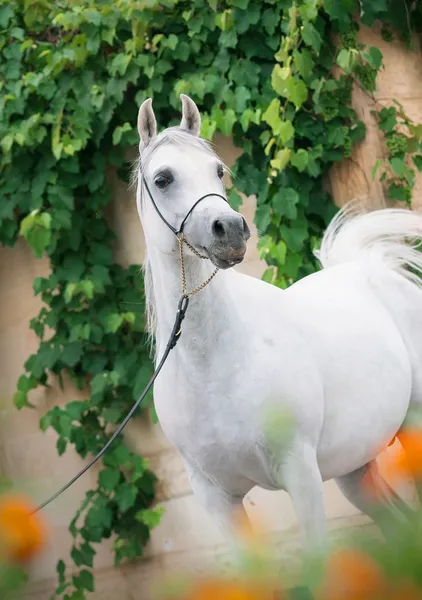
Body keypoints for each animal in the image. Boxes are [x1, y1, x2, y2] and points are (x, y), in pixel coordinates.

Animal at [135, 95, 422, 556]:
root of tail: (370, 270)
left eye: (218, 170)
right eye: (163, 178)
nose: (231, 231)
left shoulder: (300, 474)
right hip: (355, 471)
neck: (214, 365)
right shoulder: (216, 499)